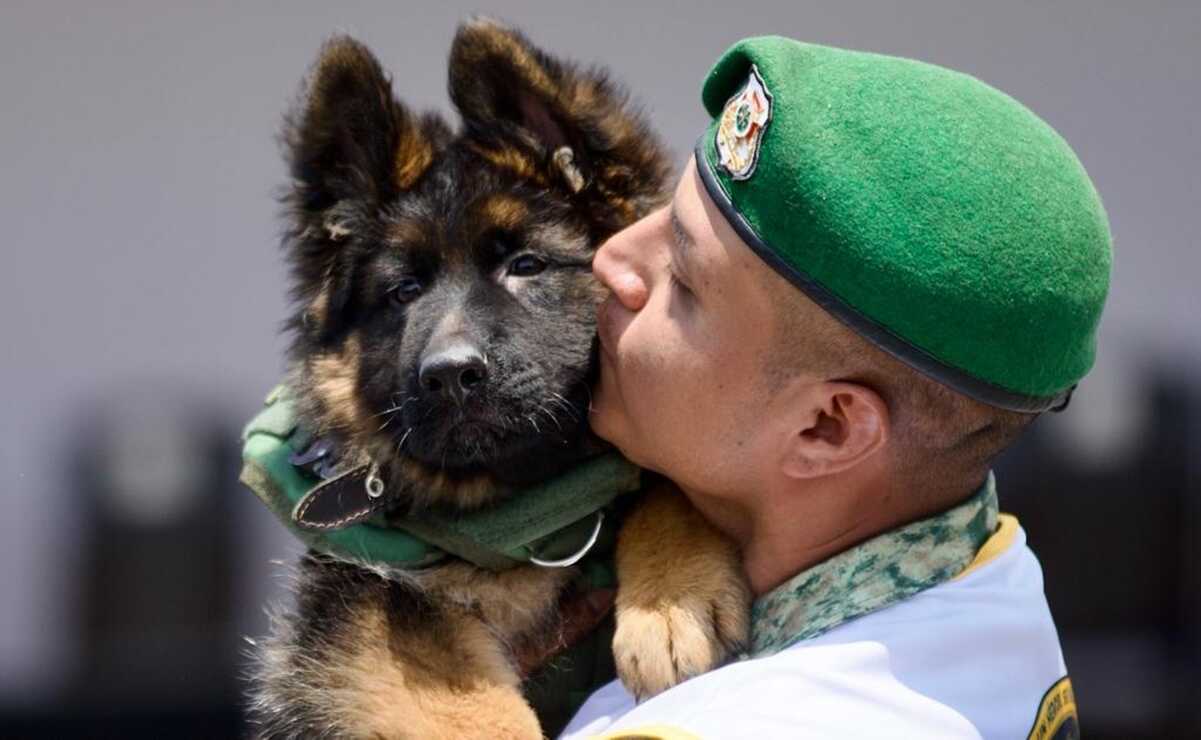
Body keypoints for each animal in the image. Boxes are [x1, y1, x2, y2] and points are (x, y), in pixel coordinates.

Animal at [247, 20, 744, 735]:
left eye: (526, 264)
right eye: (403, 292)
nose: (451, 376)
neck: (527, 516)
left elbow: (667, 483)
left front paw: (672, 601)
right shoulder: (357, 599)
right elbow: (460, 697)